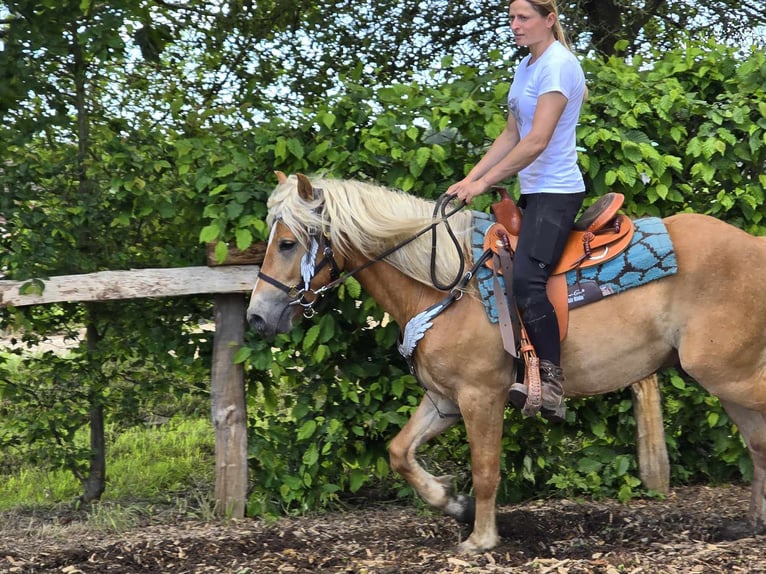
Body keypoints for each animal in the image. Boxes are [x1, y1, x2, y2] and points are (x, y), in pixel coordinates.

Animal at [248, 173, 766, 556]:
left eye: (288, 243)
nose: (257, 317)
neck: (445, 285)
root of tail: (754, 248)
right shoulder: (444, 400)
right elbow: (399, 452)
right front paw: (452, 504)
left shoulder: (481, 397)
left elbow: (486, 469)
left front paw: (479, 538)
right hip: (728, 378)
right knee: (758, 443)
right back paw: (751, 523)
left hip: (727, 373)